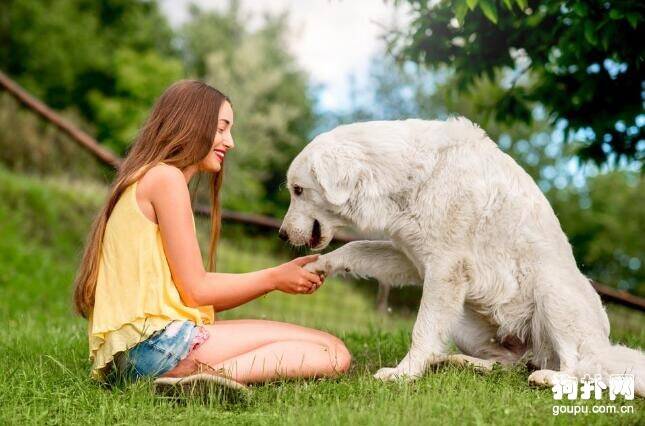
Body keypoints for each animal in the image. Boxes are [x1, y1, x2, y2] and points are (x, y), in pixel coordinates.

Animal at [280, 117, 644, 396]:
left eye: (298, 190)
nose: (282, 234)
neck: (410, 177)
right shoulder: (411, 259)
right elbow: (353, 249)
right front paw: (315, 267)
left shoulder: (444, 269)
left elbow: (422, 330)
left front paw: (403, 374)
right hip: (464, 325)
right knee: (508, 366)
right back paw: (459, 362)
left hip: (552, 294)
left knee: (581, 367)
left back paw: (547, 378)